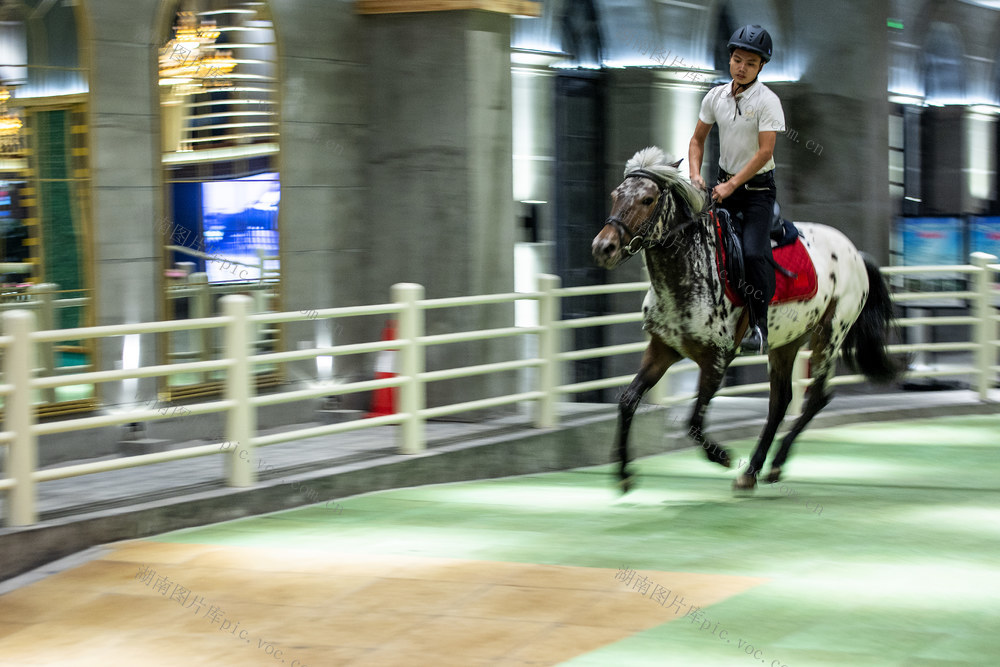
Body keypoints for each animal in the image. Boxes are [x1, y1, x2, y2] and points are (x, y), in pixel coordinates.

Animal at [588, 147, 904, 490]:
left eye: (647, 199)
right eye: (615, 194)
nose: (603, 247)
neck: (689, 268)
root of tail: (856, 253)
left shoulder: (716, 359)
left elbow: (693, 422)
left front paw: (721, 456)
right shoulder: (663, 349)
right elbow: (628, 401)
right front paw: (624, 474)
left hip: (829, 334)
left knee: (815, 398)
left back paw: (771, 464)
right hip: (787, 342)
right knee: (781, 402)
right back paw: (754, 469)